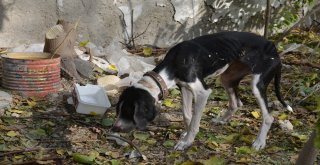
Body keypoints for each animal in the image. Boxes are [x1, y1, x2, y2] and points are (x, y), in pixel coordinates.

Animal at [112, 31, 292, 151]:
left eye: (128, 111)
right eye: (118, 110)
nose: (115, 129)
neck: (175, 62)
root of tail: (273, 47)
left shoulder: (202, 92)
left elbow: (195, 122)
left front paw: (187, 142)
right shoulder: (184, 87)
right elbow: (187, 115)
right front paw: (185, 134)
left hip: (257, 85)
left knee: (268, 116)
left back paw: (259, 142)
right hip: (227, 78)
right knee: (236, 102)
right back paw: (222, 120)